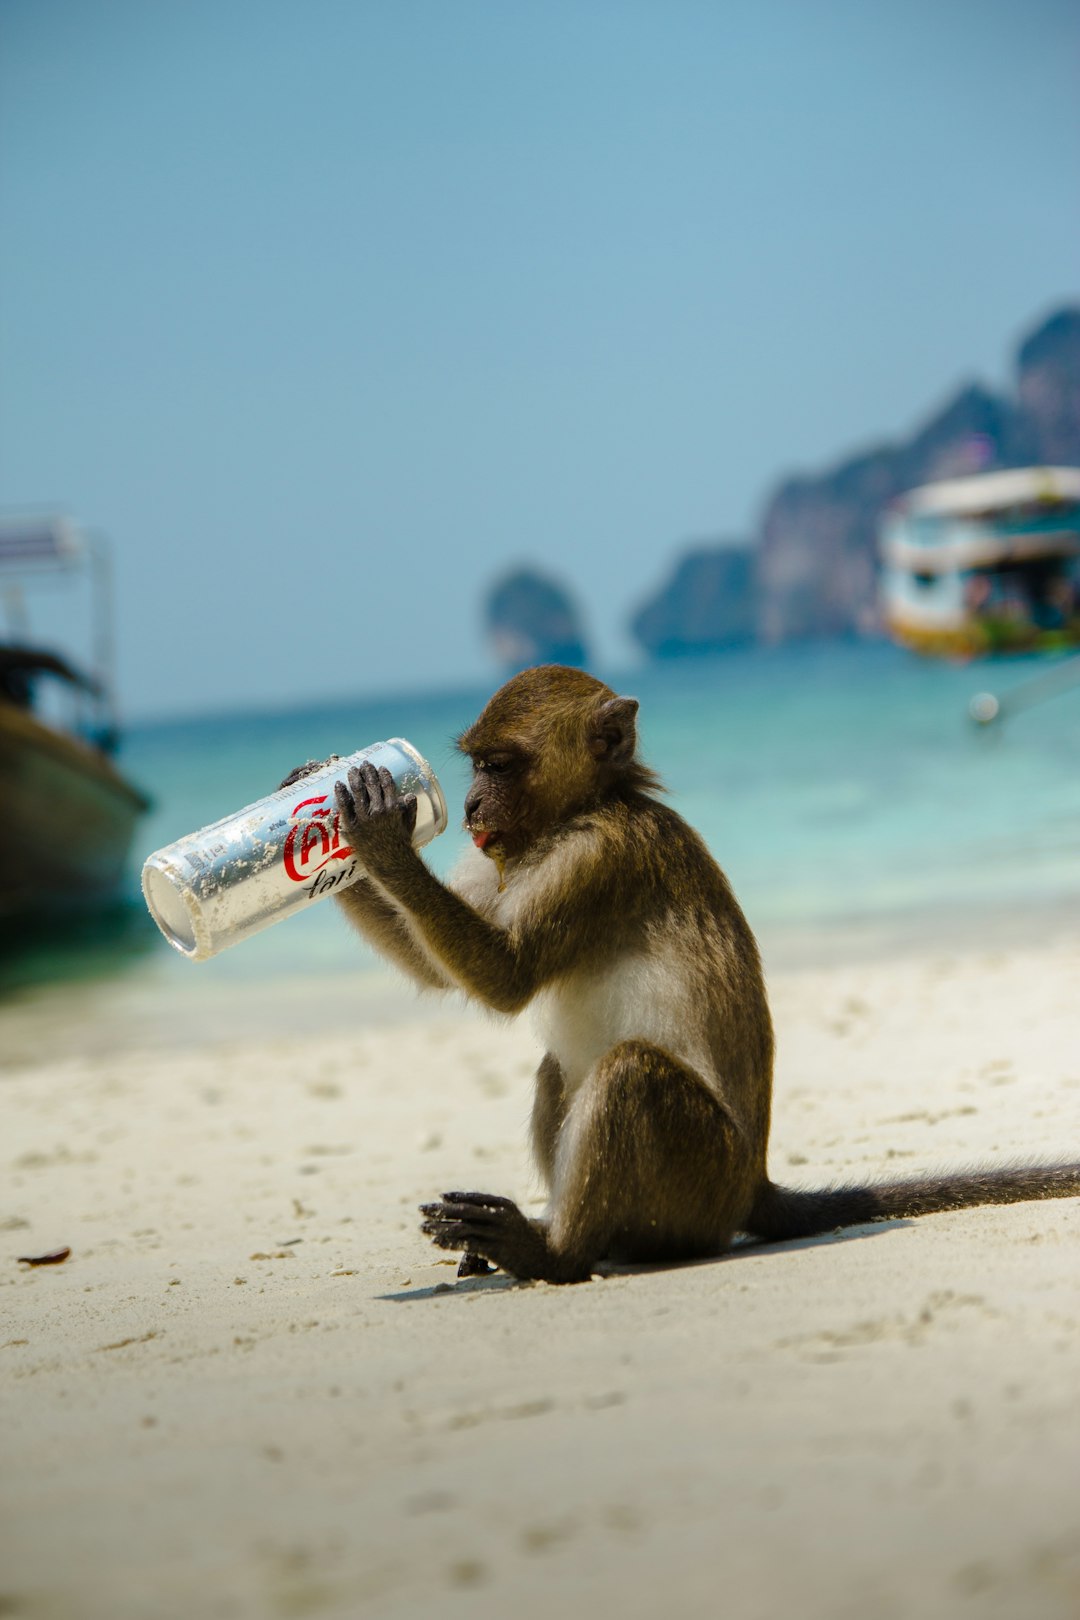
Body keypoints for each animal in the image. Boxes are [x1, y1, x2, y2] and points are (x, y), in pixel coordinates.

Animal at [281, 664, 1080, 1283]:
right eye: (475, 766)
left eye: (499, 765)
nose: (472, 804)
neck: (585, 809)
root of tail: (751, 1185)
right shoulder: (501, 854)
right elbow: (445, 971)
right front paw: (315, 817)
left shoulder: (600, 857)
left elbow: (506, 979)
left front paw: (376, 833)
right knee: (561, 1068)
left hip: (702, 1183)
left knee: (629, 1071)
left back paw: (556, 1254)